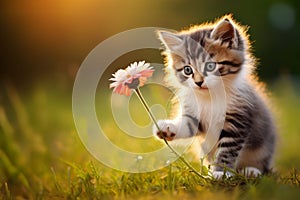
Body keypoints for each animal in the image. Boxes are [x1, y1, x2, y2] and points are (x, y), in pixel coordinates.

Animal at [155, 15, 276, 178]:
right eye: (187, 70)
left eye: (211, 66)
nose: (198, 82)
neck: (210, 96)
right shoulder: (196, 116)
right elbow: (187, 125)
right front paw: (168, 128)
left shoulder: (236, 121)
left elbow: (226, 151)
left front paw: (221, 172)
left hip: (264, 147)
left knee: (263, 166)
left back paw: (251, 170)